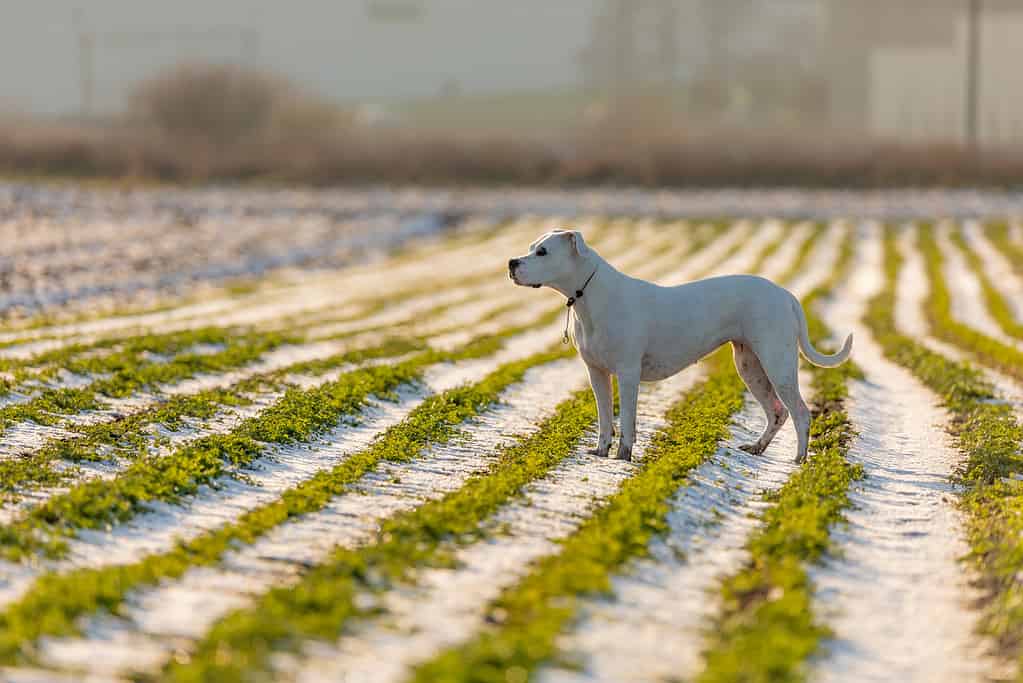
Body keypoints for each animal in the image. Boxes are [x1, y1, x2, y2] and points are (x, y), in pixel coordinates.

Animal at [507, 231, 851, 464]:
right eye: (531, 248)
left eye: (542, 252)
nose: (511, 262)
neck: (589, 296)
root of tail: (786, 294)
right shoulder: (597, 373)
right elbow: (605, 418)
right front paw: (601, 452)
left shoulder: (628, 375)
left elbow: (627, 420)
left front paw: (622, 458)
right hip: (750, 366)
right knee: (777, 412)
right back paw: (756, 448)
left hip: (777, 363)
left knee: (801, 413)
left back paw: (799, 461)